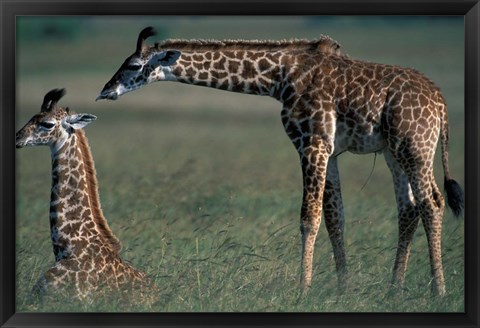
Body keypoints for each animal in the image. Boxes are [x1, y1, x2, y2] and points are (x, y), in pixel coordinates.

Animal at [95, 26, 464, 296]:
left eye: (133, 66)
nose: (104, 92)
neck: (279, 77)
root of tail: (441, 104)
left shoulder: (311, 144)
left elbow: (308, 218)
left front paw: (302, 290)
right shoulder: (330, 150)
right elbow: (335, 218)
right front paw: (342, 289)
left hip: (415, 147)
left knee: (431, 202)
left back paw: (438, 290)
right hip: (393, 152)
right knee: (409, 208)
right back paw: (394, 288)